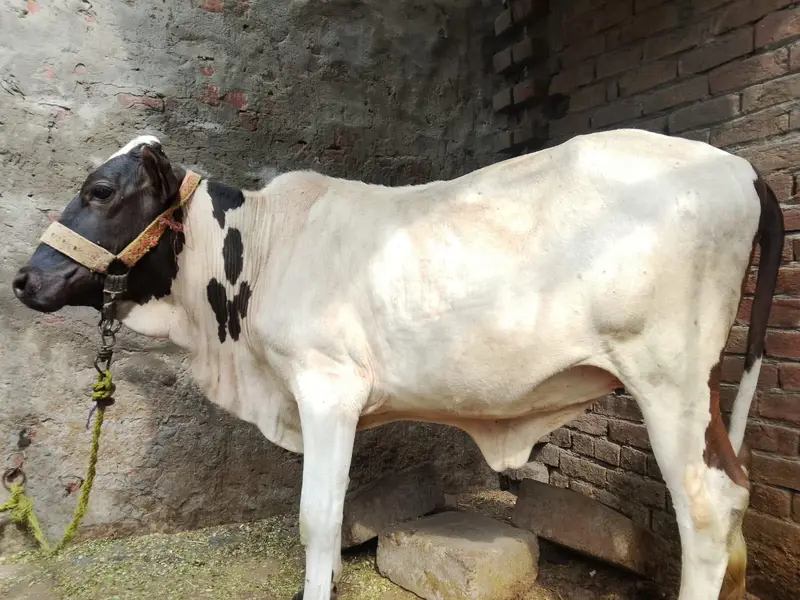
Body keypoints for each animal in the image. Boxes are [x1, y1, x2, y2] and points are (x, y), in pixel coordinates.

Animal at [12, 129, 783, 600]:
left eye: (101, 191)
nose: (23, 280)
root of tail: (737, 166)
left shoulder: (327, 387)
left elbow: (317, 517)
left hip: (669, 377)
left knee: (707, 504)